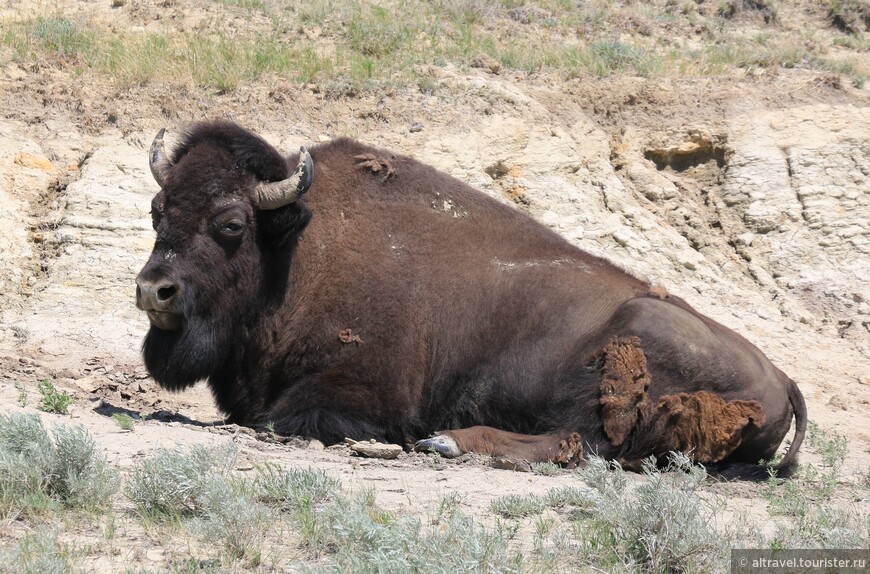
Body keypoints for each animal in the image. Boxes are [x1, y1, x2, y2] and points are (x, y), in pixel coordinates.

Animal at [136, 119, 812, 480]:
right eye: (157, 209)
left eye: (231, 224)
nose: (153, 290)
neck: (297, 250)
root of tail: (783, 377)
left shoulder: (356, 395)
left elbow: (279, 420)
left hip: (622, 360)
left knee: (581, 445)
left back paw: (447, 442)